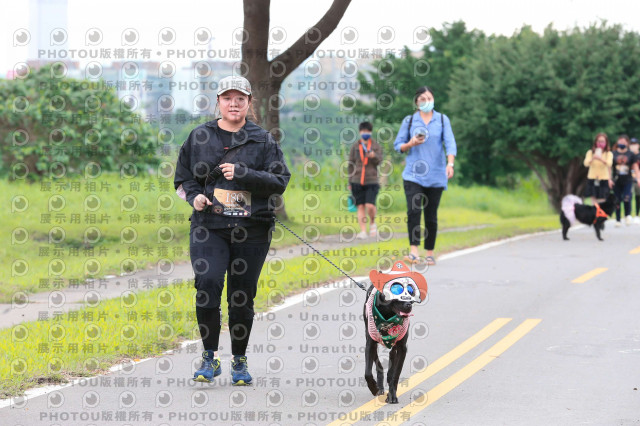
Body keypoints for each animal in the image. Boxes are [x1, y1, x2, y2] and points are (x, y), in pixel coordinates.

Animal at [362, 260, 428, 402]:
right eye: (396, 290)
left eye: (411, 291)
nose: (408, 305)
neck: (388, 317)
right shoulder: (370, 343)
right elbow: (368, 372)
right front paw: (374, 387)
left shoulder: (403, 348)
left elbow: (396, 374)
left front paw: (392, 394)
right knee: (379, 364)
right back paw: (380, 385)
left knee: (392, 356)